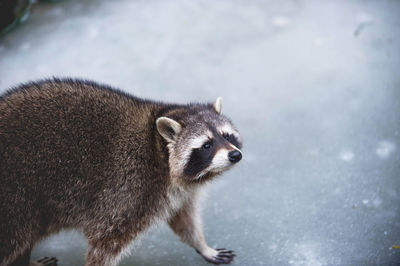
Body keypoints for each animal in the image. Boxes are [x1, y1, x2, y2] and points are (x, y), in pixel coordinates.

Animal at [0, 79, 242, 266]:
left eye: (227, 136)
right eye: (207, 145)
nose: (235, 155)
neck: (158, 150)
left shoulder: (176, 194)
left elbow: (183, 221)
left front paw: (202, 245)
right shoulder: (128, 192)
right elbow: (104, 244)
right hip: (14, 201)